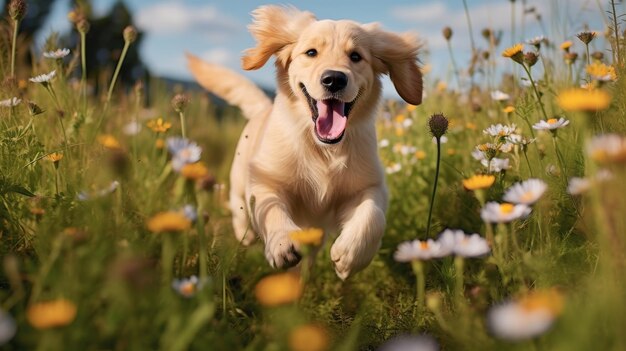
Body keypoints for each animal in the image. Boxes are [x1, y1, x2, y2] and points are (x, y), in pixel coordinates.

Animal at [184, 4, 420, 280]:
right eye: (311, 52)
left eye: (356, 56)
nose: (334, 79)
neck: (324, 148)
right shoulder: (266, 179)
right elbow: (270, 207)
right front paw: (282, 243)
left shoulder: (370, 185)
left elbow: (373, 215)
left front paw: (350, 255)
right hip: (240, 174)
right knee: (238, 204)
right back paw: (247, 232)